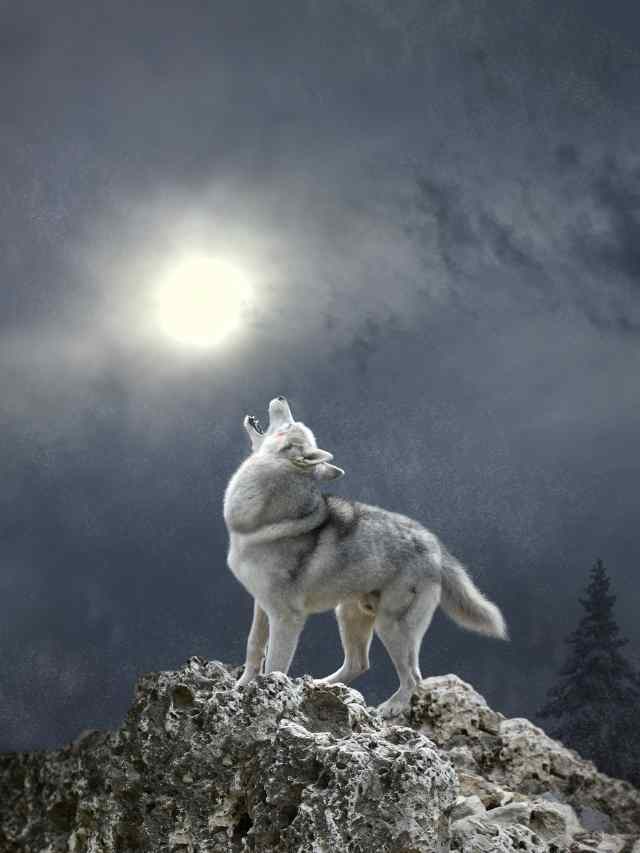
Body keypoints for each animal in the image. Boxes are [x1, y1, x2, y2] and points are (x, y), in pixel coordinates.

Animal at [223, 396, 508, 717]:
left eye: (291, 424)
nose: (282, 397)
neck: (255, 520)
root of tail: (435, 545)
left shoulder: (287, 617)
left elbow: (275, 665)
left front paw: (270, 697)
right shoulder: (262, 605)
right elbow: (254, 647)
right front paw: (241, 688)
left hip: (390, 626)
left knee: (413, 677)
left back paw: (391, 707)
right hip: (350, 614)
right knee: (360, 663)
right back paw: (319, 686)